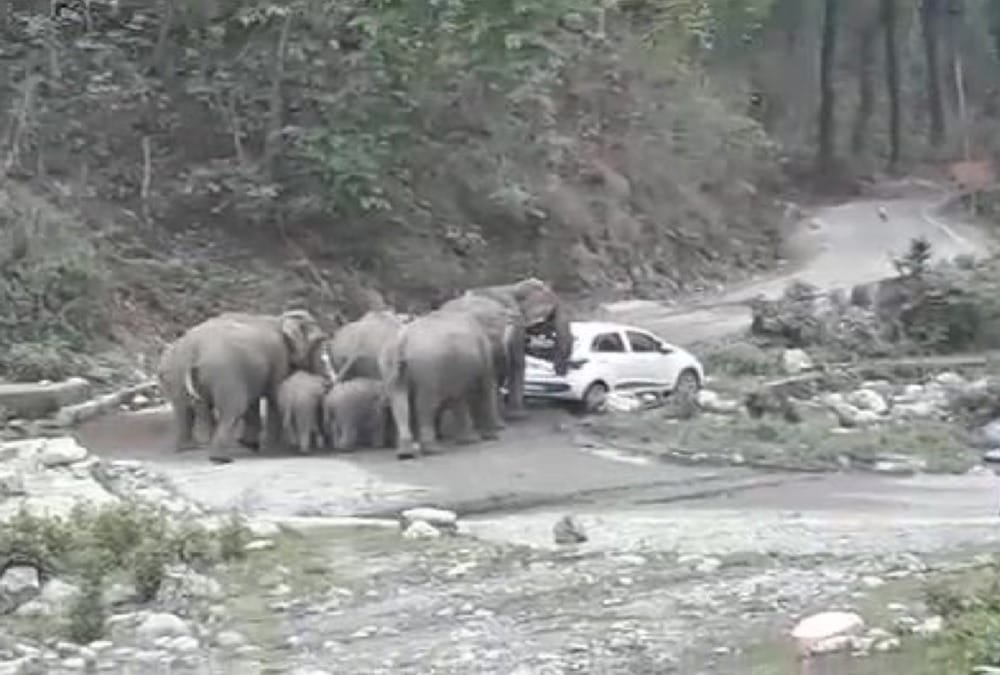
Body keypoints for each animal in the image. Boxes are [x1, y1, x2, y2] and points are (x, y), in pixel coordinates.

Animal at [156, 309, 328, 464]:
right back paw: (220, 458)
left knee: (185, 410)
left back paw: (190, 448)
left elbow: (255, 402)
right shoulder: (279, 358)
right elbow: (274, 397)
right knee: (234, 408)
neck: (280, 319)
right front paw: (274, 448)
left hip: (177, 373)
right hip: (224, 372)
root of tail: (193, 351)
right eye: (319, 340)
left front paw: (250, 444)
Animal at [379, 310, 502, 460]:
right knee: (424, 406)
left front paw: (470, 440)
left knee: (399, 402)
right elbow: (483, 390)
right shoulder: (485, 355)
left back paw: (405, 454)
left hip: (389, 365)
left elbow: (458, 398)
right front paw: (486, 438)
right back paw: (433, 450)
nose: (496, 435)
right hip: (427, 367)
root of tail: (402, 341)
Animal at [438, 277, 573, 418]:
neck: (513, 287)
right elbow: (517, 362)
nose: (560, 371)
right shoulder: (516, 319)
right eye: (552, 312)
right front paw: (518, 415)